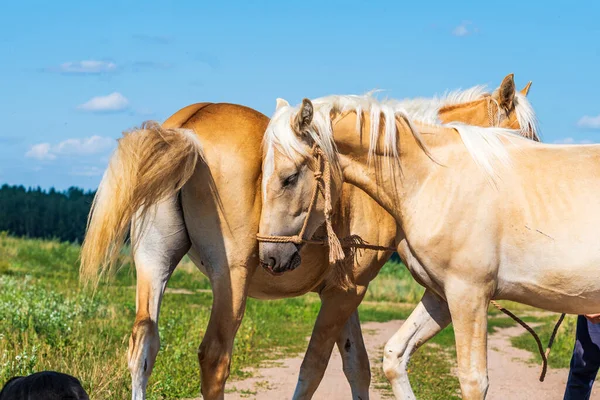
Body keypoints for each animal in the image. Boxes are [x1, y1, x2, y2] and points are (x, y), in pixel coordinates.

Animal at [79, 73, 536, 398]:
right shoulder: (345, 293)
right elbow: (314, 368)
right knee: (214, 358)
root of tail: (187, 127)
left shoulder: (344, 291)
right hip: (232, 279)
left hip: (153, 263)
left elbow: (357, 368)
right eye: (523, 139)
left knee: (143, 345)